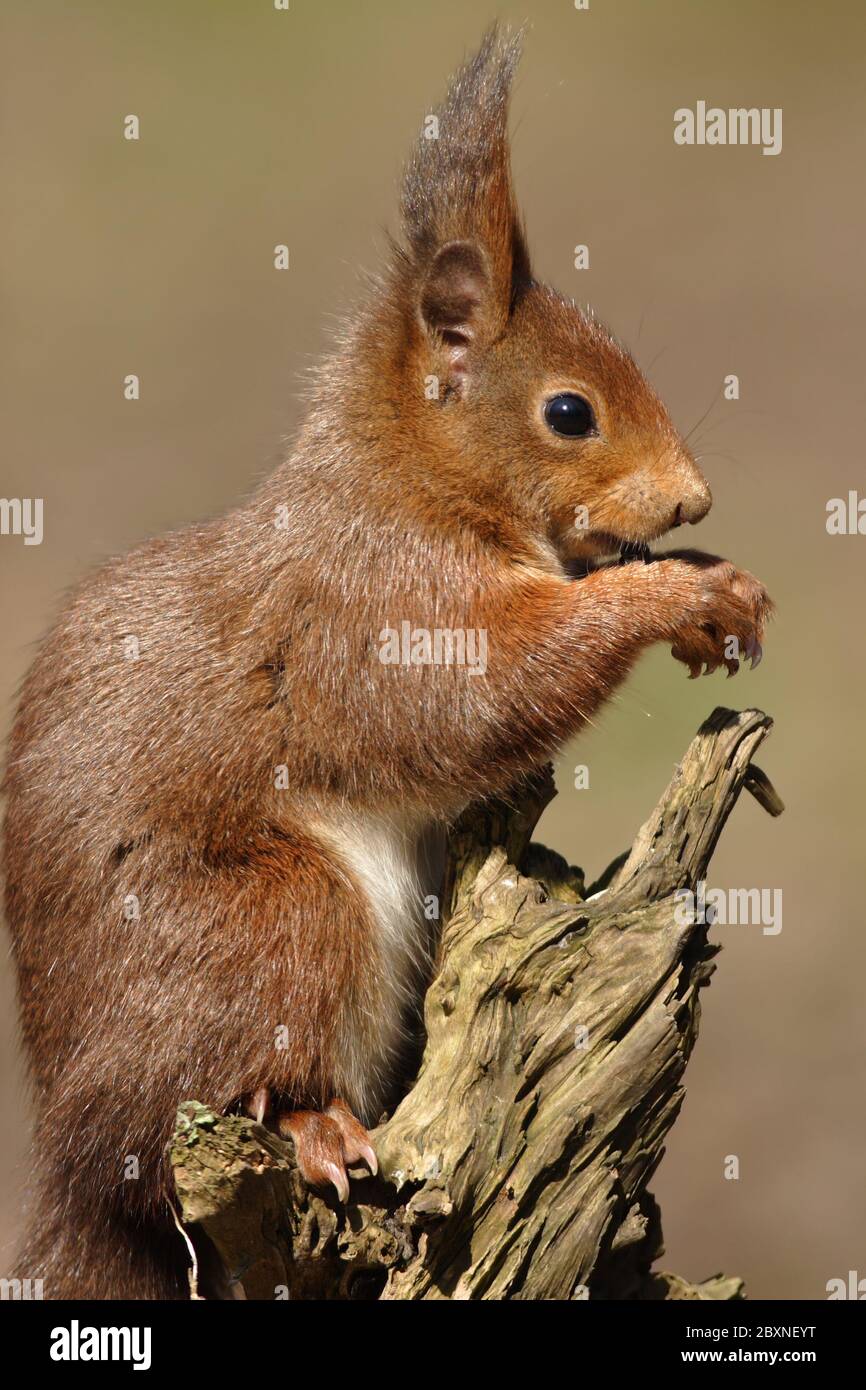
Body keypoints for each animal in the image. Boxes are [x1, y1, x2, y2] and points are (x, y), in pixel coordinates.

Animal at [1, 27, 772, 1295]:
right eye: (568, 411)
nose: (690, 500)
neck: (410, 485)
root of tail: (69, 1170)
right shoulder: (373, 606)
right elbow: (480, 693)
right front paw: (677, 592)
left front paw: (708, 580)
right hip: (270, 918)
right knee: (186, 1107)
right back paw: (312, 1125)